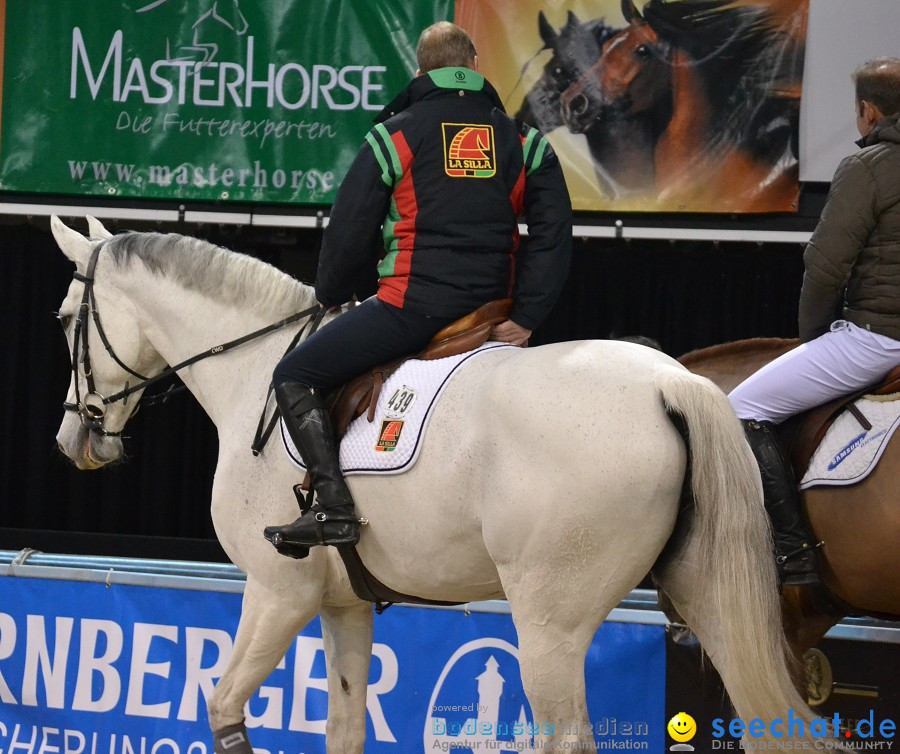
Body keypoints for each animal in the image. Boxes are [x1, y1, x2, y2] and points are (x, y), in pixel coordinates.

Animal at [54, 214, 816, 748]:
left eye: (63, 320)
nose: (73, 439)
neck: (252, 370)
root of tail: (669, 383)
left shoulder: (277, 593)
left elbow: (221, 708)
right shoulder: (342, 606)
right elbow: (345, 728)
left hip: (550, 623)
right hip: (706, 594)